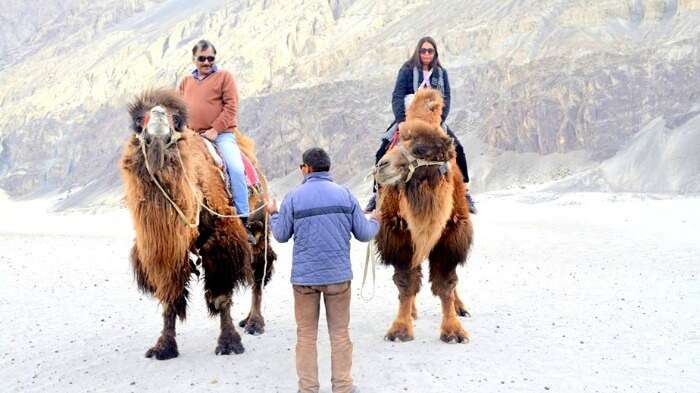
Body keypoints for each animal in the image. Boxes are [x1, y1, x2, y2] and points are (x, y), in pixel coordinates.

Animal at [120, 89, 276, 358]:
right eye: (139, 121)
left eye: (176, 120)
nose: (158, 127)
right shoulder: (164, 250)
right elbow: (170, 294)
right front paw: (164, 347)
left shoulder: (221, 240)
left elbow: (221, 294)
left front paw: (229, 343)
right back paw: (247, 320)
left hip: (259, 225)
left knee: (258, 272)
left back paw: (255, 323)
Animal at [374, 87, 474, 342]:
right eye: (398, 141)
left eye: (420, 149)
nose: (382, 166)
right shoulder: (398, 235)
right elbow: (406, 282)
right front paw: (400, 328)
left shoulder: (452, 235)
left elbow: (446, 284)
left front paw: (454, 330)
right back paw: (412, 311)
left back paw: (461, 307)